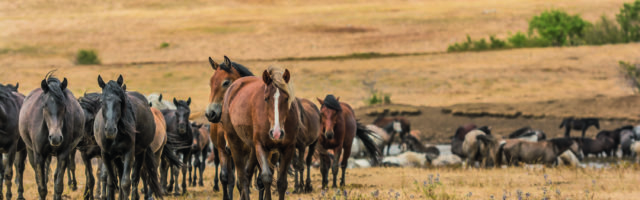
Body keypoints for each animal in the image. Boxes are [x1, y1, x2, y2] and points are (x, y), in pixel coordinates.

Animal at [220, 67, 300, 200]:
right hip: (235, 143)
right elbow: (266, 177)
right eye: (266, 98)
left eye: (286, 98)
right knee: (242, 177)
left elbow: (282, 183)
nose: (276, 133)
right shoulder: (260, 146)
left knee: (247, 174)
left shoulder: (288, 148)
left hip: (252, 150)